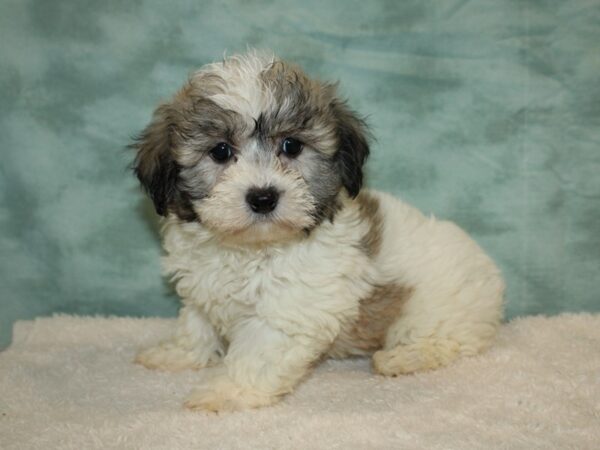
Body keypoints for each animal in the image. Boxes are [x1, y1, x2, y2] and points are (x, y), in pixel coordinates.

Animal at [131, 51, 502, 414]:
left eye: (292, 146)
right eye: (220, 151)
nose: (263, 197)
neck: (251, 248)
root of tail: (491, 274)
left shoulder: (287, 311)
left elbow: (257, 355)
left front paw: (227, 392)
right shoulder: (202, 285)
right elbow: (196, 323)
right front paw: (177, 354)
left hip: (436, 311)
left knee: (448, 341)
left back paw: (403, 358)